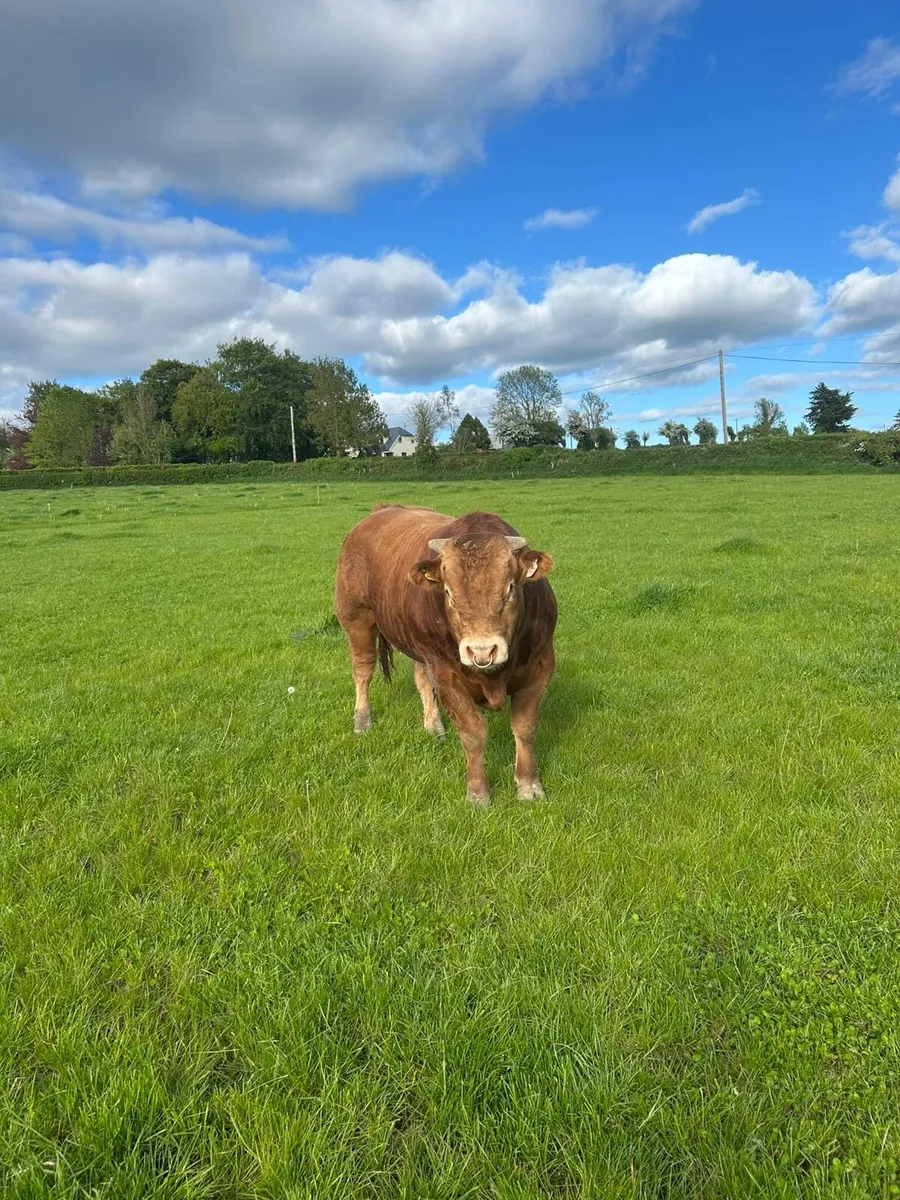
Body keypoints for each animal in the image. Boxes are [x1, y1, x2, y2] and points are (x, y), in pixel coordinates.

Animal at [334, 503, 557, 805]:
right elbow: (473, 733)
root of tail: (381, 510)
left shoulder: (540, 667)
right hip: (356, 618)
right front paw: (477, 793)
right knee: (363, 670)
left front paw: (529, 785)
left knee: (420, 678)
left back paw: (433, 725)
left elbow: (525, 729)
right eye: (448, 592)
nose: (482, 650)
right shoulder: (446, 676)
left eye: (510, 588)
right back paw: (362, 720)